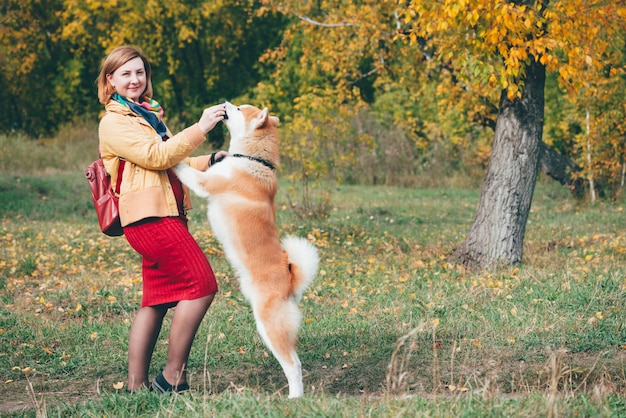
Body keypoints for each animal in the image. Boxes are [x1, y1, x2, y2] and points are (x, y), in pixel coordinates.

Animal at [171, 101, 316, 398]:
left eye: (239, 108)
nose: (224, 102)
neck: (251, 159)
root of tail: (290, 280)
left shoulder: (205, 183)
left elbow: (186, 169)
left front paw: (166, 144)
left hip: (269, 326)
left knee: (293, 364)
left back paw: (294, 397)